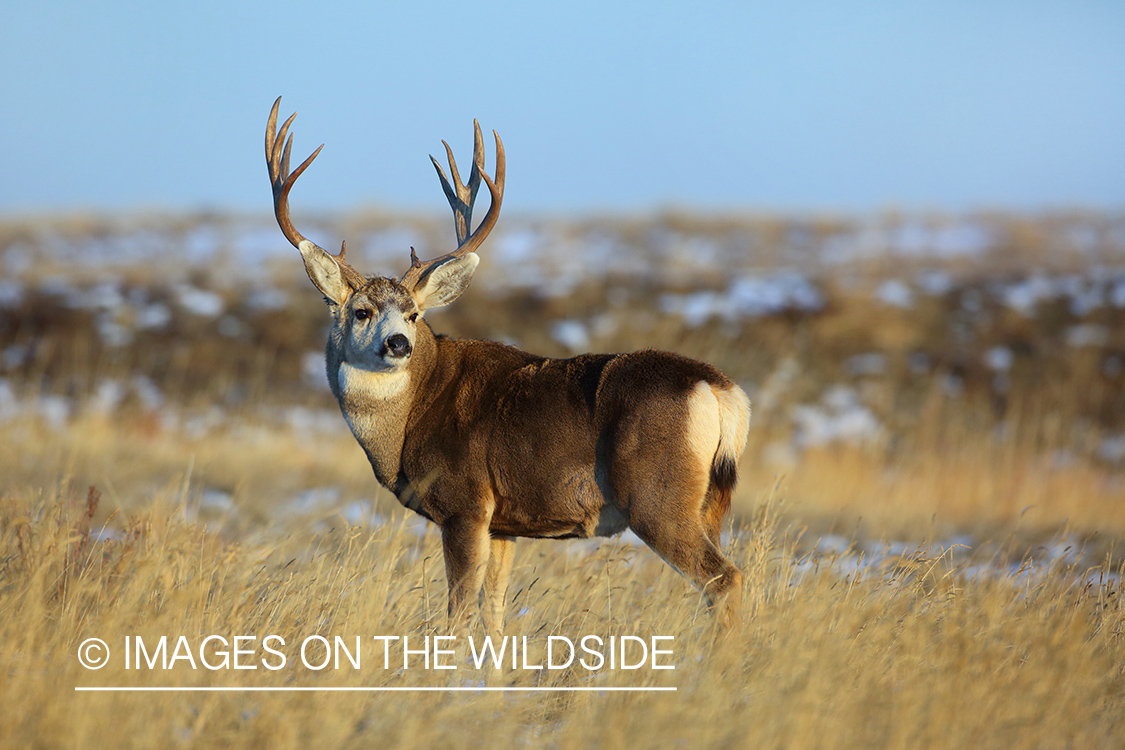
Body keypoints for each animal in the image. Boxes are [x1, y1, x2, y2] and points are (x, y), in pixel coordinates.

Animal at [266, 96, 751, 629]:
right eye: (361, 311)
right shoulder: (504, 524)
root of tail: (719, 388)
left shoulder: (465, 503)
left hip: (657, 496)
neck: (412, 418)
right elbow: (494, 612)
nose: (398, 344)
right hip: (712, 500)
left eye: (414, 314)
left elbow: (458, 612)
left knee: (723, 578)